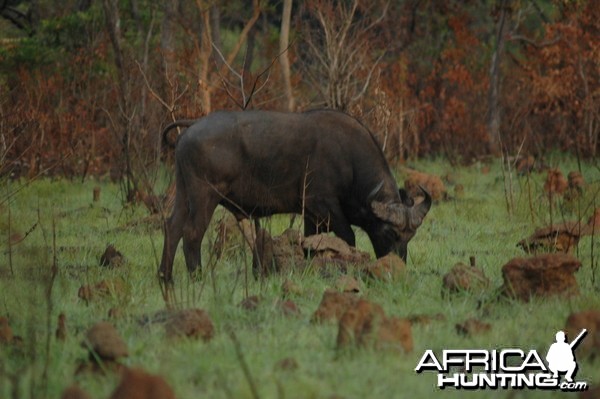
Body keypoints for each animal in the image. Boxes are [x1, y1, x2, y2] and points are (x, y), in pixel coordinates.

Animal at [159, 109, 432, 282]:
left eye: (410, 236)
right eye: (390, 233)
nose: (397, 266)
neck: (349, 160)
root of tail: (192, 127)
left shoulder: (312, 216)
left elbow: (313, 243)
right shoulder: (324, 206)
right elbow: (348, 238)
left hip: (184, 192)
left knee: (172, 228)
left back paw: (165, 277)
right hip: (204, 195)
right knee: (192, 233)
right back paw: (196, 277)